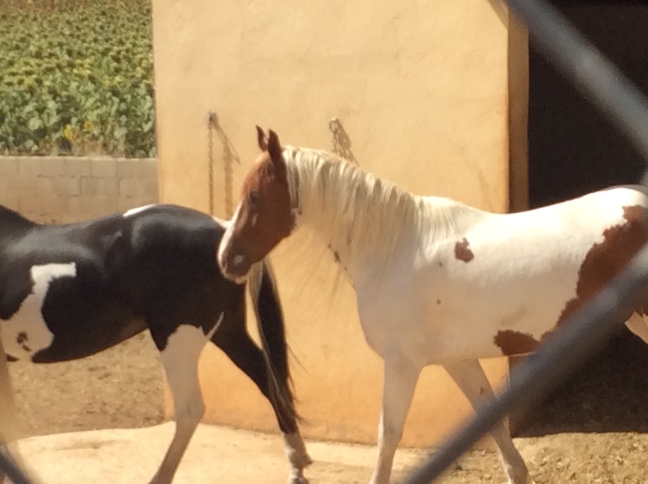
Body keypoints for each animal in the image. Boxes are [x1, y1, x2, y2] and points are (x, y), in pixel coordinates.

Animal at [0, 202, 312, 484]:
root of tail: (224, 230)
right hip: (227, 331)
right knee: (270, 381)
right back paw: (297, 465)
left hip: (177, 338)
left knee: (190, 408)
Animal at [217, 126, 648, 484]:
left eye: (254, 195)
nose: (226, 260)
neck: (394, 250)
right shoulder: (458, 360)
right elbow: (493, 424)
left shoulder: (402, 364)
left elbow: (389, 436)